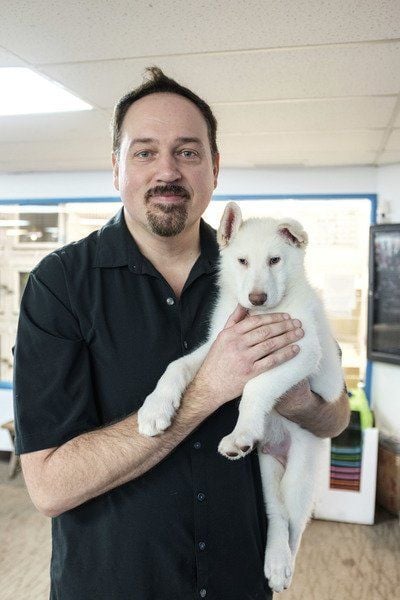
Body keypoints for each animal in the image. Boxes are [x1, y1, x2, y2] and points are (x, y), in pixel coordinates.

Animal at [138, 200, 344, 592]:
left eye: (275, 260)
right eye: (242, 261)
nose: (256, 298)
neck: (264, 314)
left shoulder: (303, 350)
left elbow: (254, 386)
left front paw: (241, 431)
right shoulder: (219, 346)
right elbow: (177, 366)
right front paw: (155, 409)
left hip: (301, 474)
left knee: (295, 526)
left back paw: (283, 566)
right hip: (265, 470)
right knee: (276, 516)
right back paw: (274, 558)